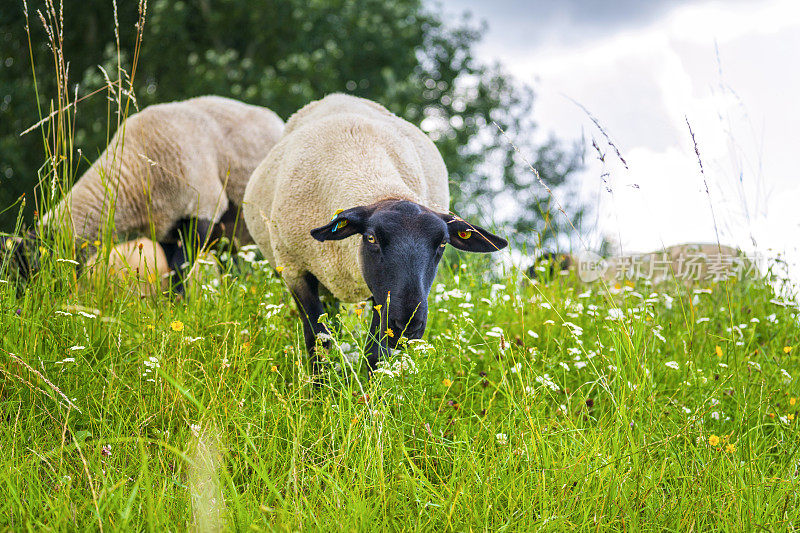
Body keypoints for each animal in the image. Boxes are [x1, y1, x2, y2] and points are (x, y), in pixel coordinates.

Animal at [242, 93, 506, 368]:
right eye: (371, 238)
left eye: (443, 243)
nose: (407, 328)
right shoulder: (295, 271)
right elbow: (317, 340)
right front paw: (320, 379)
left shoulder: (380, 296)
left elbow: (376, 352)